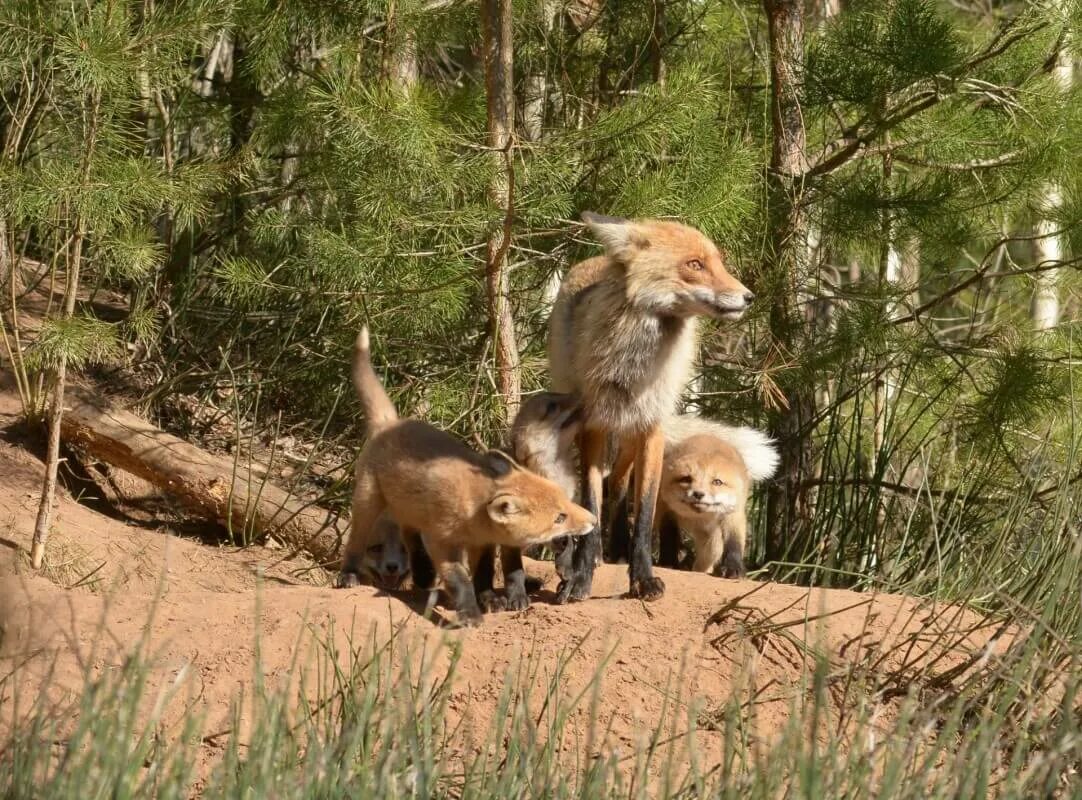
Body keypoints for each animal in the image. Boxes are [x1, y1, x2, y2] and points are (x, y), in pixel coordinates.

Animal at [549, 213, 753, 601]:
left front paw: (642, 578)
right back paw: (595, 554)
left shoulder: (651, 429)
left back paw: (616, 548)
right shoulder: (594, 426)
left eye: (717, 262)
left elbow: (643, 514)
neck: (634, 371)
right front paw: (581, 577)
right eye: (695, 264)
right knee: (604, 488)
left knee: (618, 484)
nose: (749, 297)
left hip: (631, 437)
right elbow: (592, 502)